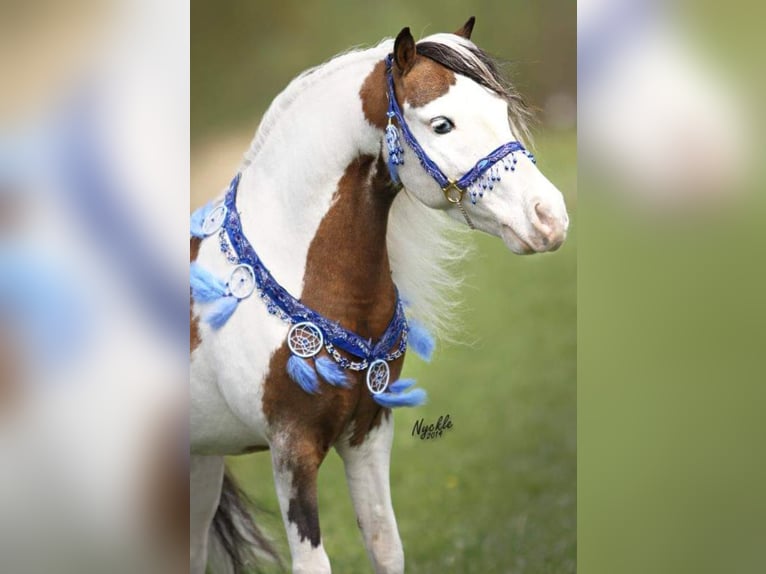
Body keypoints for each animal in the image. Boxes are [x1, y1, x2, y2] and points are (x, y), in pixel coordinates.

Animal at [190, 18, 568, 574]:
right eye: (442, 124)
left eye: (500, 112)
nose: (549, 217)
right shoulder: (291, 449)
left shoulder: (368, 432)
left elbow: (385, 545)